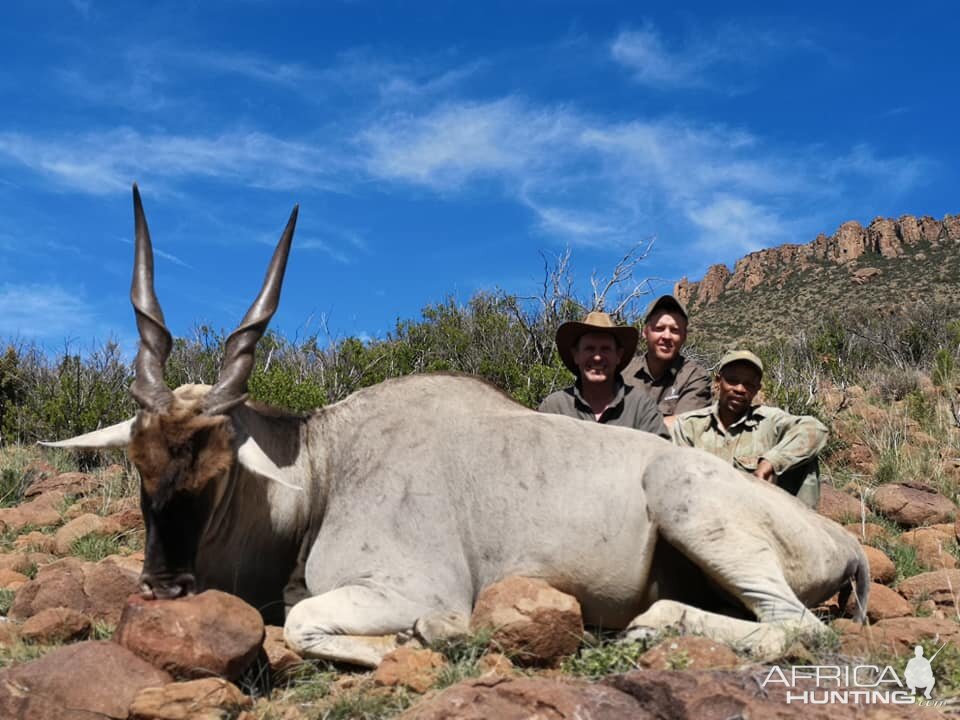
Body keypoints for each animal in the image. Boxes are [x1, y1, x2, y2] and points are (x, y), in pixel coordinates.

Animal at [45, 187, 872, 668]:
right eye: (140, 462)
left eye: (216, 463)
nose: (165, 586)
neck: (326, 464)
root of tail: (848, 544)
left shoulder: (412, 587)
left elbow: (311, 622)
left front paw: (437, 637)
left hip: (689, 509)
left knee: (801, 628)